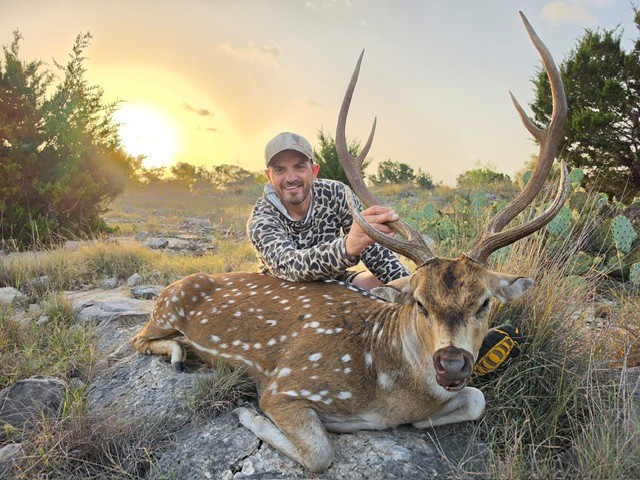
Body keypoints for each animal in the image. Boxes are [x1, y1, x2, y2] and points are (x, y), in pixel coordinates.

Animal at [131, 12, 568, 473]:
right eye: (420, 303)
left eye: (484, 302)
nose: (451, 363)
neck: (388, 388)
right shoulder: (286, 384)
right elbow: (319, 452)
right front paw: (246, 412)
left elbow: (478, 398)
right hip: (167, 305)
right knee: (138, 337)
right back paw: (179, 353)